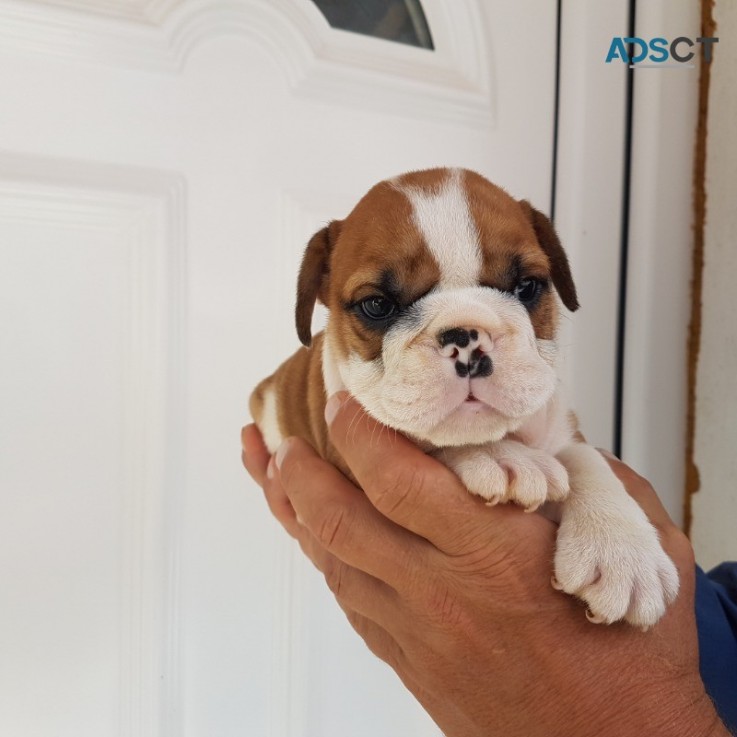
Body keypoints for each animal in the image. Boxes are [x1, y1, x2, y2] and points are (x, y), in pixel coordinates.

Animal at [249, 168, 680, 628]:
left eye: (527, 286)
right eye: (377, 305)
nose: (466, 336)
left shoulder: (561, 425)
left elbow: (589, 460)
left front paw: (622, 552)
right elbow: (425, 438)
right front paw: (499, 455)